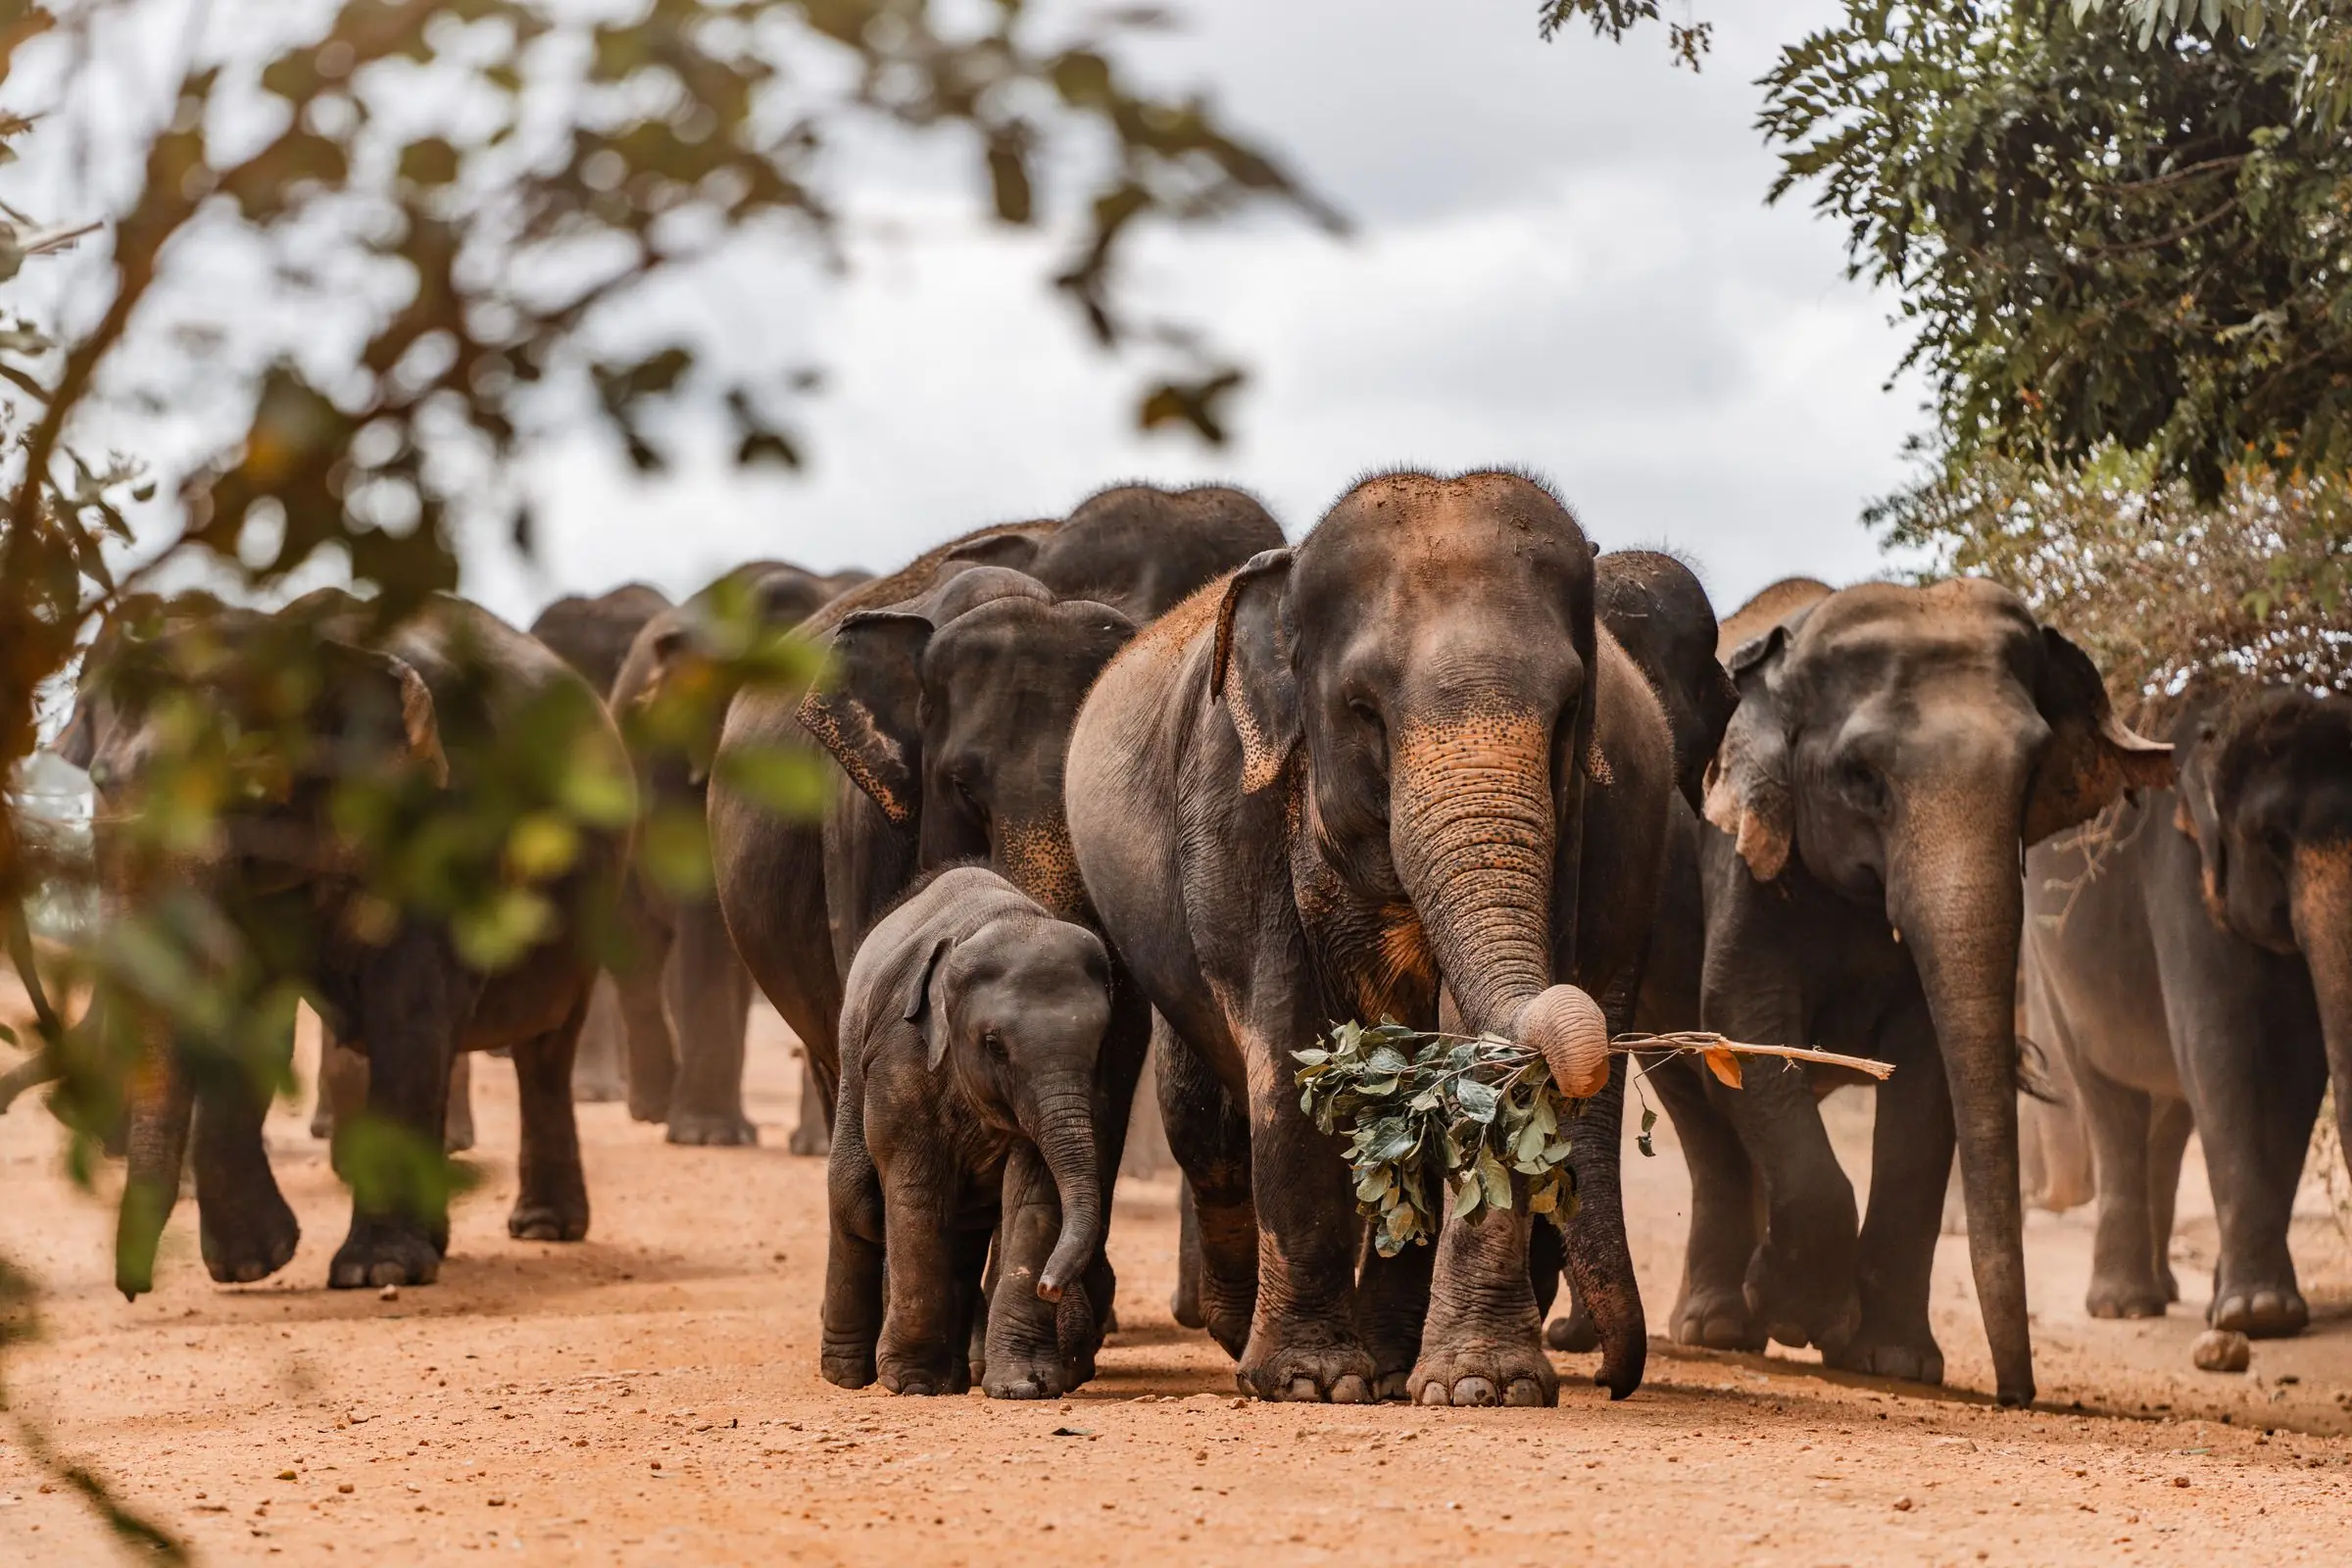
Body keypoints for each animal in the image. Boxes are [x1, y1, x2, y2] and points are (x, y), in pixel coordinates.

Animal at [74, 589, 631, 1294]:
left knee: (544, 1049)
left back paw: (542, 1229)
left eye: (247, 786)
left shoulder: (437, 820)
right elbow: (245, 1013)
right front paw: (251, 1265)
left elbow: (406, 1009)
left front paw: (375, 1271)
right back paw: (440, 1243)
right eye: (101, 780)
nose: (133, 1289)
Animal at [823, 864, 1114, 1398]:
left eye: (1101, 1042)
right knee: (858, 1204)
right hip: (852, 1077)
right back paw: (847, 1376)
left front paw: (1025, 1386)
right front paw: (912, 1384)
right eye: (995, 1045)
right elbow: (916, 1193)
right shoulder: (900, 1059)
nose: (1051, 1286)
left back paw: (956, 1376)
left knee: (965, 1230)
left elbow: (1035, 1198)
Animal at [1066, 470, 1676, 1407]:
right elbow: (1286, 1042)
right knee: (1203, 1119)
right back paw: (1255, 1337)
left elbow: (1468, 1053)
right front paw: (1308, 1384)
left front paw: (1484, 1389)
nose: (1613, 1381)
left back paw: (1392, 1366)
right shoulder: (1232, 803)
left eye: (1570, 711)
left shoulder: (1583, 828)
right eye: (1362, 710)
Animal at [1691, 576, 2173, 1406]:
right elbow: (1738, 1015)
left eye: (2031, 773)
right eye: (1861, 779)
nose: (2018, 1396)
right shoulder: (1744, 857)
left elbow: (1926, 1072)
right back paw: (1720, 1329)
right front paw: (1800, 1317)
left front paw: (1891, 1360)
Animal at [2022, 682, 2351, 1339]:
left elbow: (2293, 1068)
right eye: (2270, 839)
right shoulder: (2180, 871)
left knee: (2170, 1117)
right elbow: (2234, 1051)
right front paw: (2260, 1316)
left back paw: (2168, 1292)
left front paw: (2245, 1308)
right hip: (2049, 968)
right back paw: (2123, 1306)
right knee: (2111, 1102)